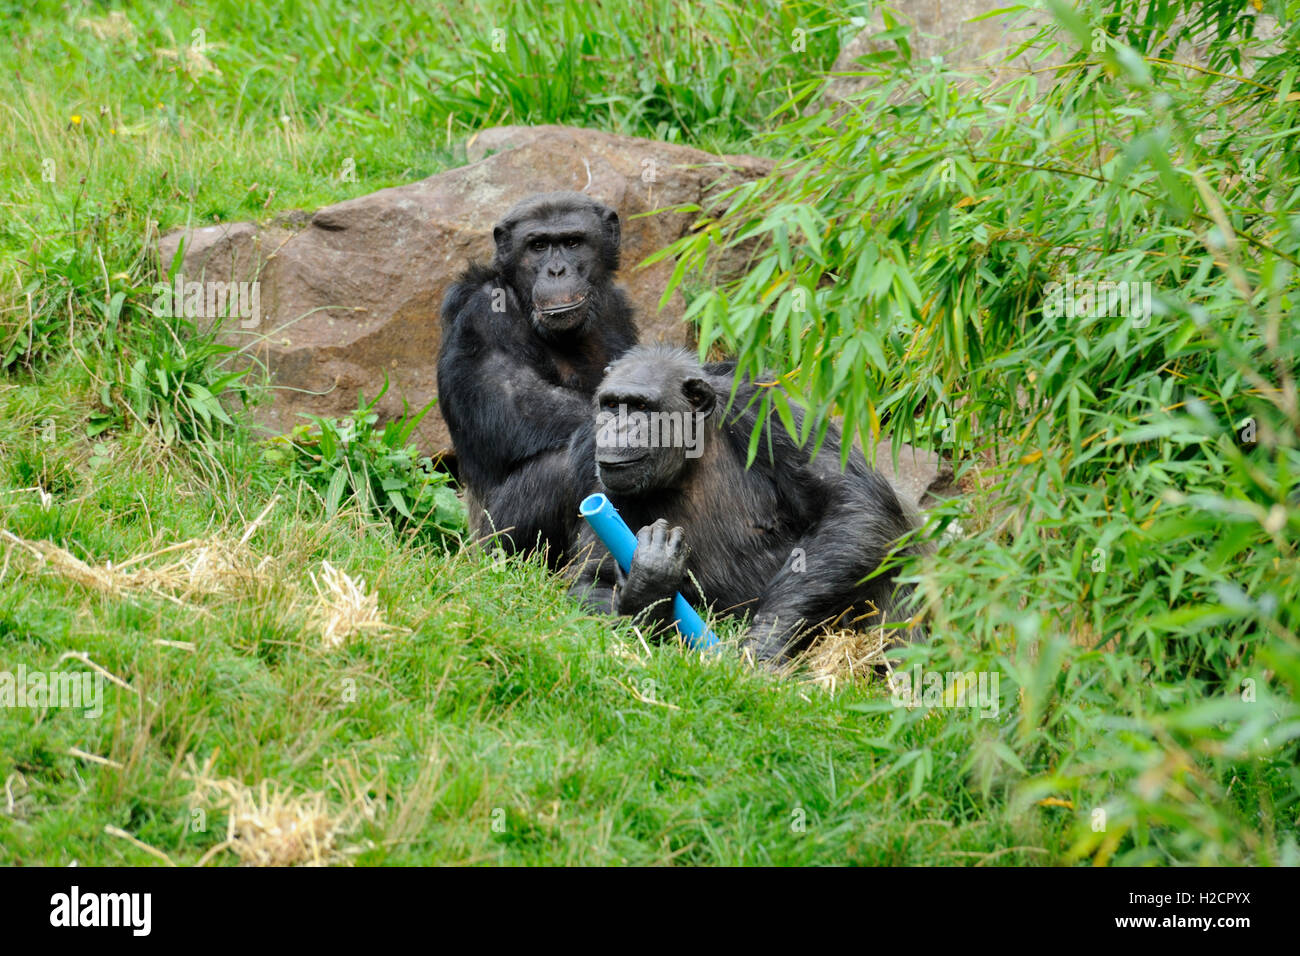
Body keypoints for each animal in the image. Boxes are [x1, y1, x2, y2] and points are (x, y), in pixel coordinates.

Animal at [436, 193, 639, 567]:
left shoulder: (619, 311)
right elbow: (515, 402)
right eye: (538, 246)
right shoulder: (483, 314)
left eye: (572, 242)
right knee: (562, 466)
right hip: (493, 545)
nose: (556, 270)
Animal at [569, 345, 925, 665]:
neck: (691, 456)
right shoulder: (606, 483)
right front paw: (649, 586)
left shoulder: (769, 414)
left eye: (641, 406)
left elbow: (855, 504)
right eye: (611, 404)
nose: (617, 426)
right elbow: (590, 582)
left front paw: (765, 642)